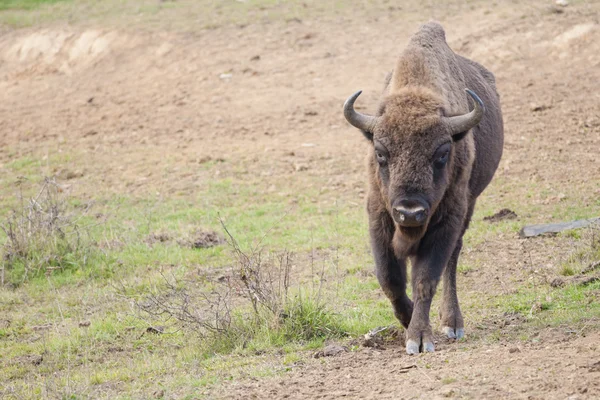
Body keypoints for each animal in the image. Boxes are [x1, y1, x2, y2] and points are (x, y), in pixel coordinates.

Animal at [342, 21, 502, 354]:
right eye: (380, 152)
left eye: (442, 153)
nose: (410, 211)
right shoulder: (379, 215)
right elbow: (390, 279)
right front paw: (407, 320)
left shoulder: (446, 220)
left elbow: (425, 278)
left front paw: (418, 337)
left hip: (468, 206)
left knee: (452, 259)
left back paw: (452, 323)